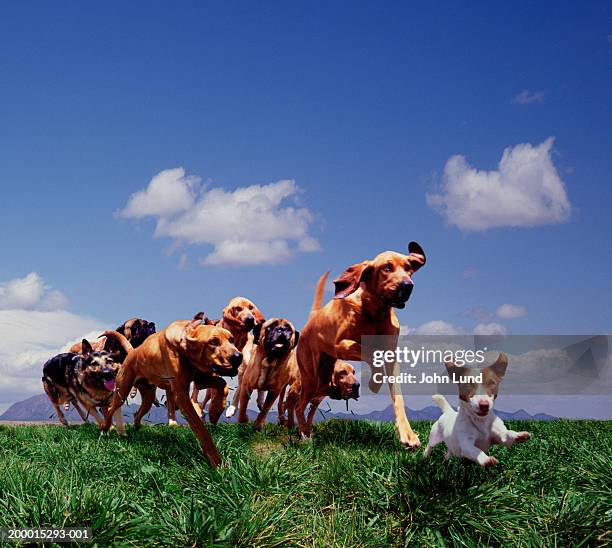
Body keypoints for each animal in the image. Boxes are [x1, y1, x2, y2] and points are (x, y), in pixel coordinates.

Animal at [101, 312, 243, 466]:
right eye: (213, 342)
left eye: (232, 340)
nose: (238, 357)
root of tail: (133, 352)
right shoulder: (181, 395)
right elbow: (201, 429)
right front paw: (217, 462)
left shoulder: (201, 380)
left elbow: (223, 384)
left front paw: (216, 410)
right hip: (122, 392)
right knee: (111, 409)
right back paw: (105, 429)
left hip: (148, 397)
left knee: (137, 414)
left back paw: (137, 431)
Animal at [296, 242, 426, 448]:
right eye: (387, 268)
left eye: (408, 268)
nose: (408, 286)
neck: (374, 312)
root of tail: (312, 319)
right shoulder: (342, 345)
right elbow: (370, 352)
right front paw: (374, 381)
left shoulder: (391, 355)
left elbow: (398, 396)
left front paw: (408, 434)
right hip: (311, 378)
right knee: (299, 406)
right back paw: (303, 435)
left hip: (322, 380)